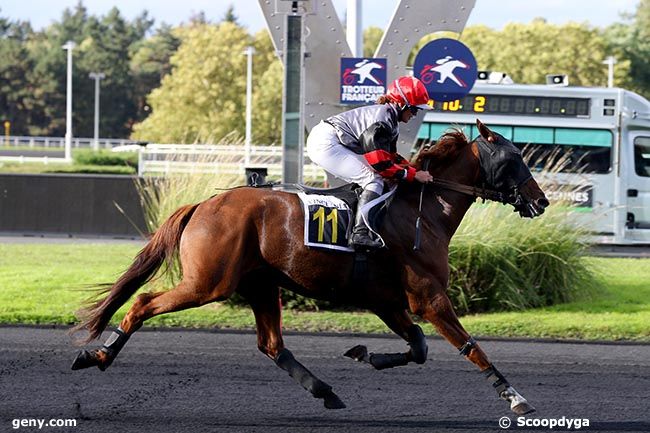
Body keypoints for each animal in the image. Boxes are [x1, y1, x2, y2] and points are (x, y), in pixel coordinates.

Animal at [71, 120, 548, 416]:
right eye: (513, 159)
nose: (541, 200)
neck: (423, 209)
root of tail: (204, 204)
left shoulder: (388, 301)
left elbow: (418, 348)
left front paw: (365, 354)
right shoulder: (427, 298)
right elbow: (470, 346)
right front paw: (515, 397)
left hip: (261, 285)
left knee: (271, 345)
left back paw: (326, 391)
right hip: (208, 282)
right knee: (142, 304)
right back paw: (96, 355)